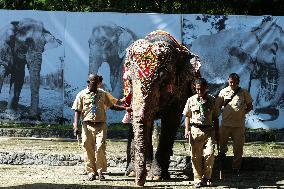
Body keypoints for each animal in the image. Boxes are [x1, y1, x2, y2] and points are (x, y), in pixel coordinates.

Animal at [123, 30, 201, 185]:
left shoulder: (181, 90)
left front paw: (156, 176)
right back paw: (132, 171)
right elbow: (139, 120)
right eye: (129, 81)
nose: (139, 184)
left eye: (164, 82)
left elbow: (171, 121)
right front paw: (146, 173)